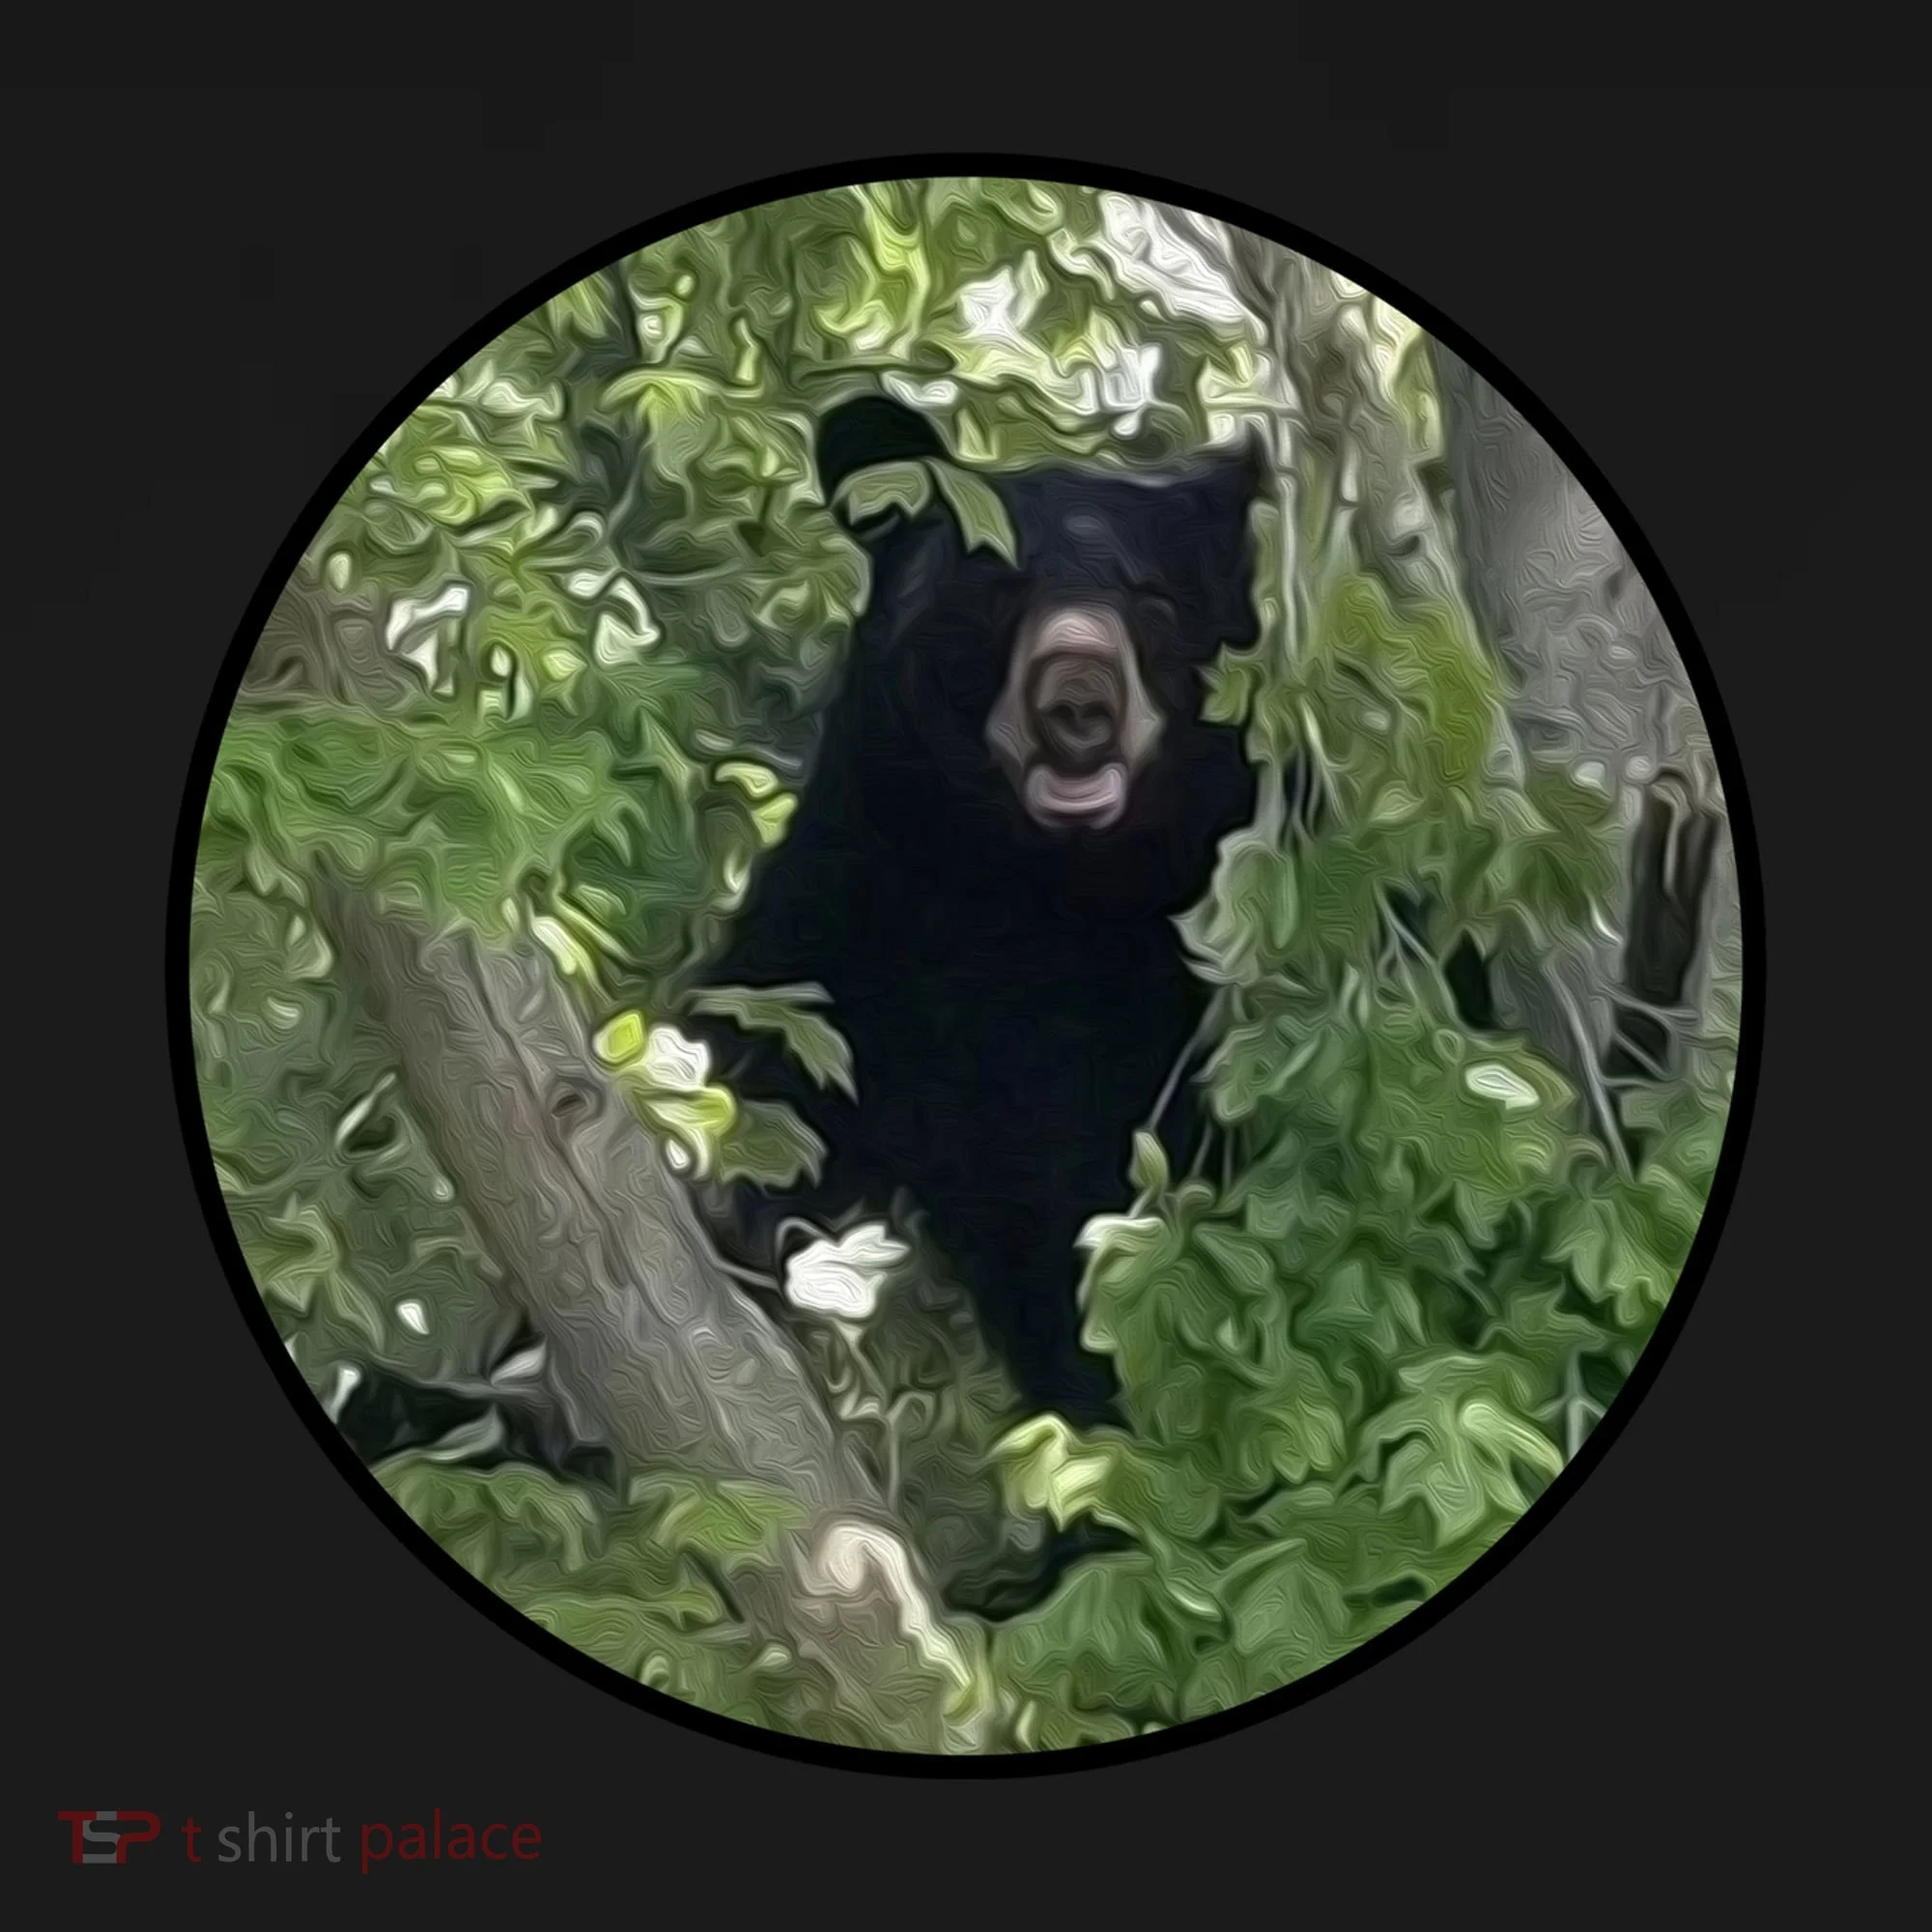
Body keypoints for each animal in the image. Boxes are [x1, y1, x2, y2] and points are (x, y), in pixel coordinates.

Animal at [685, 393, 1264, 1425]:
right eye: (1000, 589)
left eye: (1152, 599)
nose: (1080, 698)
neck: (1038, 887)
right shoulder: (860, 919)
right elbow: (769, 1063)